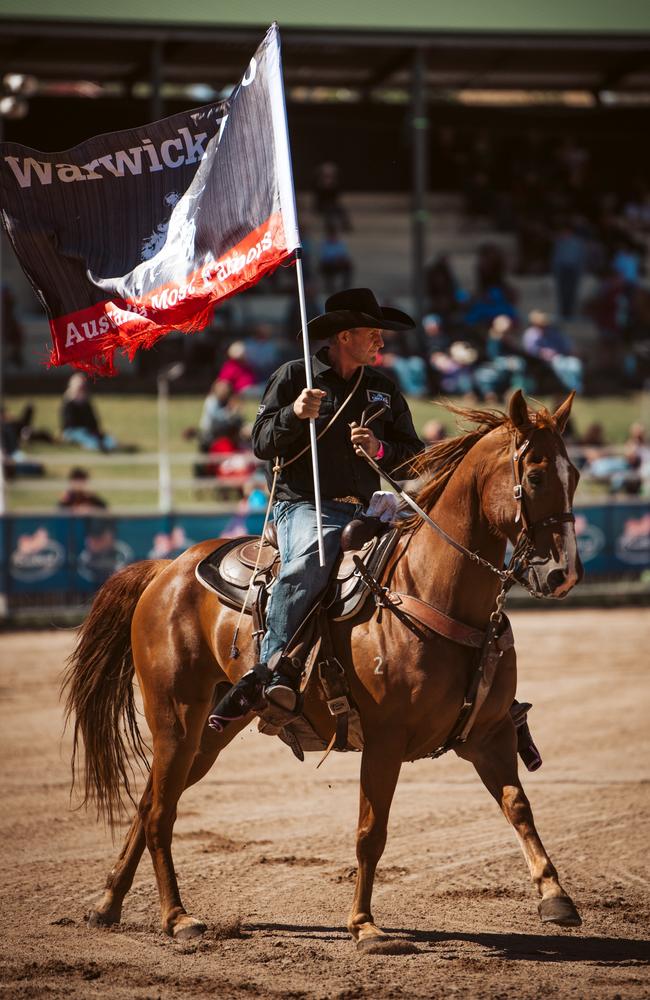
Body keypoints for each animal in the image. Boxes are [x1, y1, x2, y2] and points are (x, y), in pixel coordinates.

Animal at [64, 388, 584, 944]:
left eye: (573, 474)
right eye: (535, 475)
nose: (564, 573)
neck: (429, 589)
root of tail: (168, 569)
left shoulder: (489, 734)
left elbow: (518, 806)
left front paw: (556, 897)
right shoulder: (384, 739)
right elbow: (371, 831)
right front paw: (364, 925)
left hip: (210, 730)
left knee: (149, 802)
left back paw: (107, 903)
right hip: (175, 715)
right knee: (161, 811)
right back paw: (177, 917)